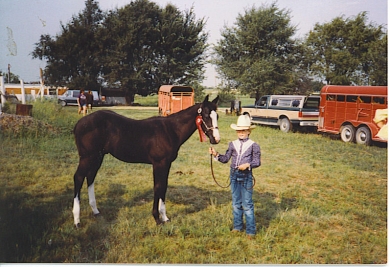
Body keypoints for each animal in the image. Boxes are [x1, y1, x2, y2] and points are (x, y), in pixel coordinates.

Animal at [72, 95, 219, 227]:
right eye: (206, 115)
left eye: (217, 116)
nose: (216, 139)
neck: (170, 130)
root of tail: (79, 124)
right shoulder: (159, 164)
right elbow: (158, 187)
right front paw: (157, 218)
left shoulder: (166, 164)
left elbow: (163, 186)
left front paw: (165, 217)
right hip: (87, 157)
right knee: (78, 177)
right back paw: (77, 220)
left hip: (97, 157)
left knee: (90, 177)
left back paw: (95, 211)